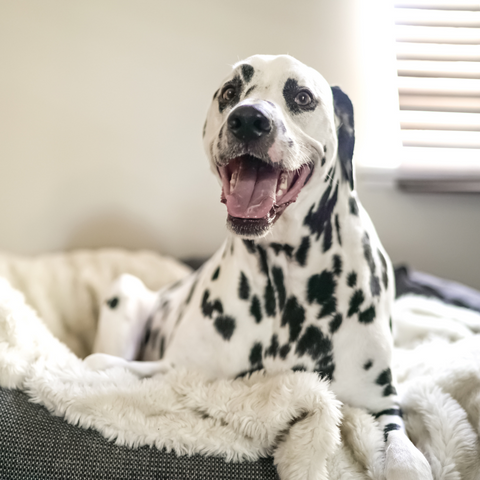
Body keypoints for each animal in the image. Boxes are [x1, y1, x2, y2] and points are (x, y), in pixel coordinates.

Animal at [85, 54, 432, 478]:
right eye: (230, 92)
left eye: (302, 96)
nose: (249, 119)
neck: (285, 280)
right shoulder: (176, 371)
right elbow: (104, 365)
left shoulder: (380, 406)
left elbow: (406, 457)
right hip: (125, 290)